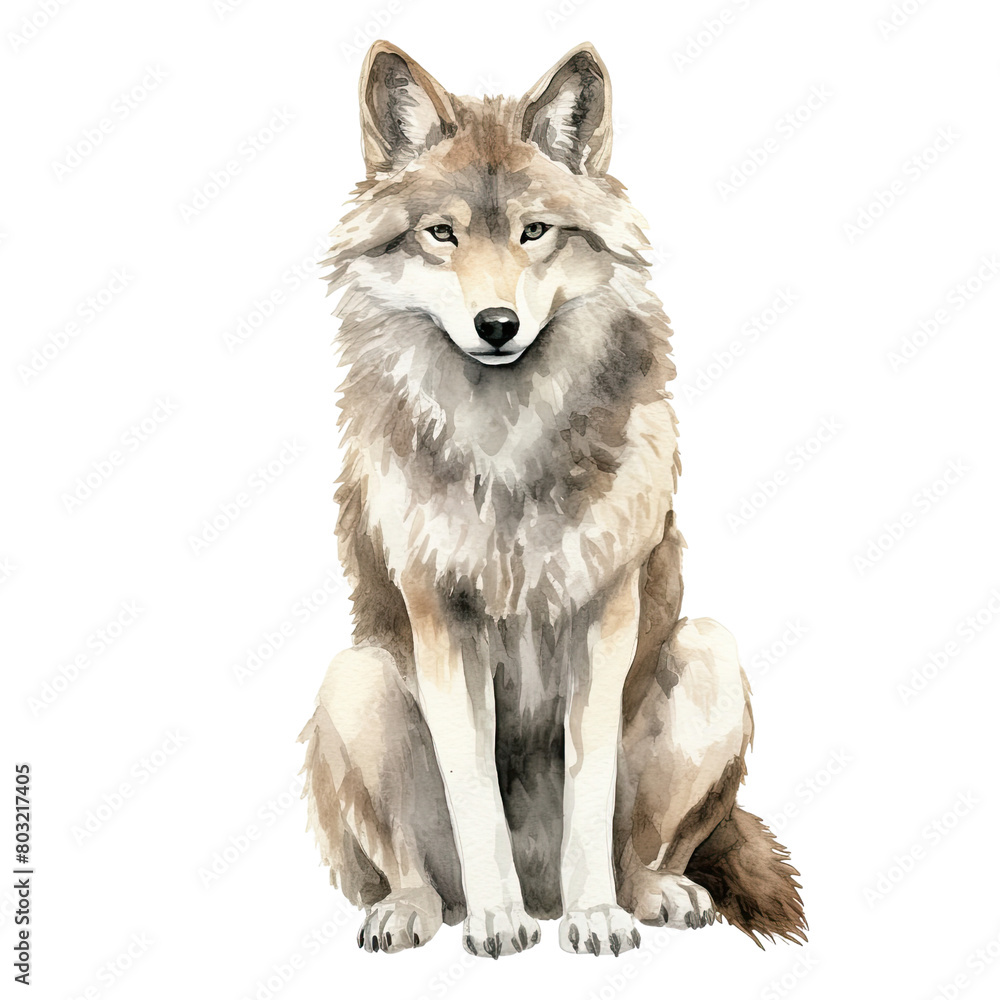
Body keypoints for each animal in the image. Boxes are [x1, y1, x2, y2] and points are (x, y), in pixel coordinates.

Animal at [299, 40, 806, 957]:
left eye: (535, 231)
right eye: (442, 233)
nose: (496, 324)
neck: (506, 442)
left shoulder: (603, 615)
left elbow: (591, 785)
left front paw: (595, 916)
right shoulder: (440, 620)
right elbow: (472, 793)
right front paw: (496, 922)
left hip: (710, 650)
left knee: (646, 849)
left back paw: (646, 896)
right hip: (356, 678)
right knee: (414, 871)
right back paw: (422, 910)